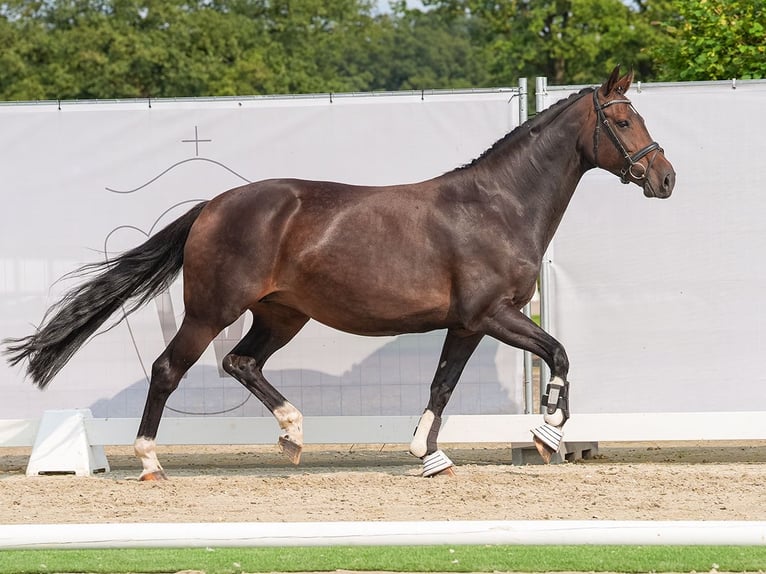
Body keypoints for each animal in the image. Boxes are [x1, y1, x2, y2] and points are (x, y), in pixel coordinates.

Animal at [6, 68, 680, 482]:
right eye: (623, 122)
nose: (665, 178)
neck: (498, 204)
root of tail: (213, 205)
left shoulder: (467, 324)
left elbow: (442, 386)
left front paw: (429, 457)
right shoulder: (494, 314)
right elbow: (559, 354)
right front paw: (548, 432)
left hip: (282, 315)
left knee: (242, 362)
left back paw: (293, 435)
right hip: (210, 311)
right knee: (171, 368)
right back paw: (150, 462)